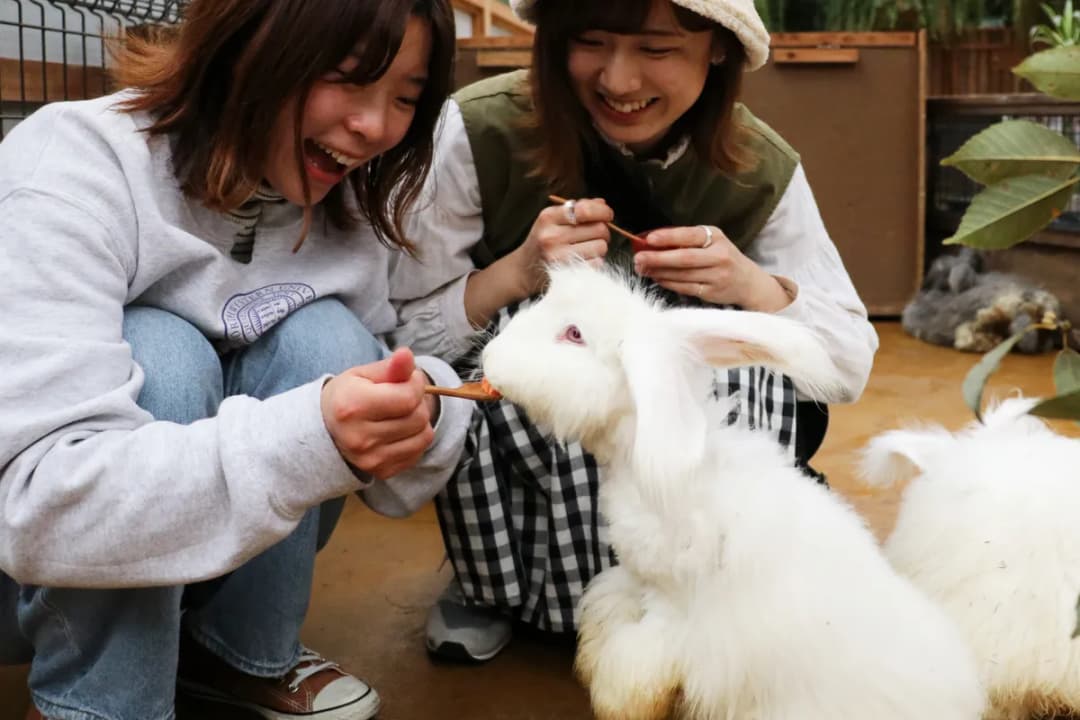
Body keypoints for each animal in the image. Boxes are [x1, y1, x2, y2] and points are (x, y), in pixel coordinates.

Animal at [480, 261, 986, 720]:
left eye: (573, 334)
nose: (488, 358)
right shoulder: (630, 584)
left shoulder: (672, 613)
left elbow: (633, 668)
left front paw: (617, 700)